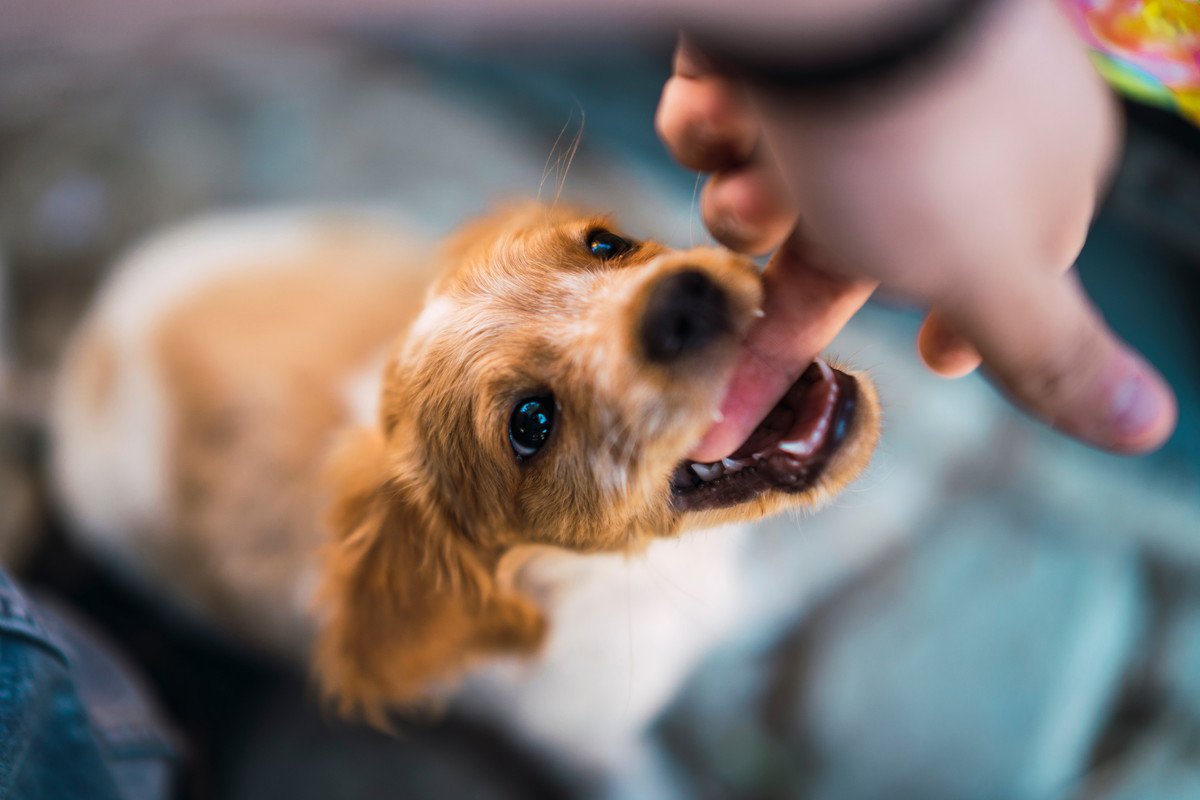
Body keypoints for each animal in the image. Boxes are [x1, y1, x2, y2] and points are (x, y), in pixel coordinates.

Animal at [51, 201, 878, 796]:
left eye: (604, 245)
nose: (683, 298)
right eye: (531, 423)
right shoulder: (593, 742)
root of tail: (93, 339)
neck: (631, 572)